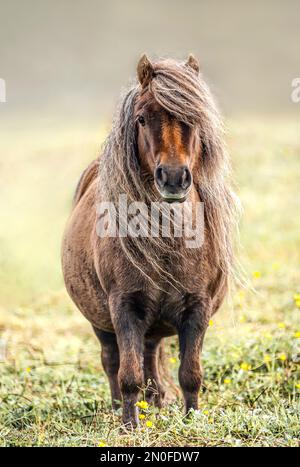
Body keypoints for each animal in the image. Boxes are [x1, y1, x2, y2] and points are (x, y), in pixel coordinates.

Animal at [61, 54, 239, 428]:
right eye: (142, 118)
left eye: (194, 116)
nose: (172, 177)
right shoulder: (125, 307)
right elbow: (128, 374)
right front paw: (130, 426)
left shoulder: (197, 307)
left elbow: (190, 373)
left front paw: (191, 419)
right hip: (102, 322)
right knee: (113, 360)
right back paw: (121, 408)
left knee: (151, 355)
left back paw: (155, 403)